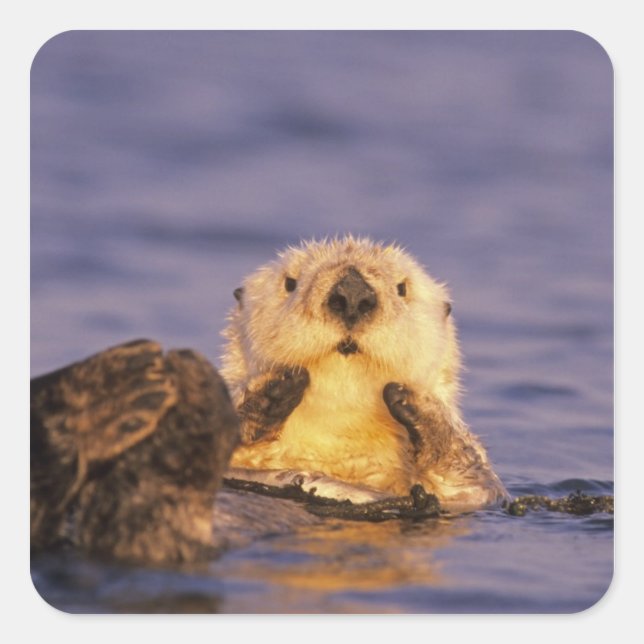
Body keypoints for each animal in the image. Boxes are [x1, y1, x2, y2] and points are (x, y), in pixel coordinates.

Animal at [222, 236, 508, 511]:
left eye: (402, 288)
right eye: (290, 283)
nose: (352, 293)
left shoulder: (468, 497)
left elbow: (474, 483)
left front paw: (415, 402)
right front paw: (271, 390)